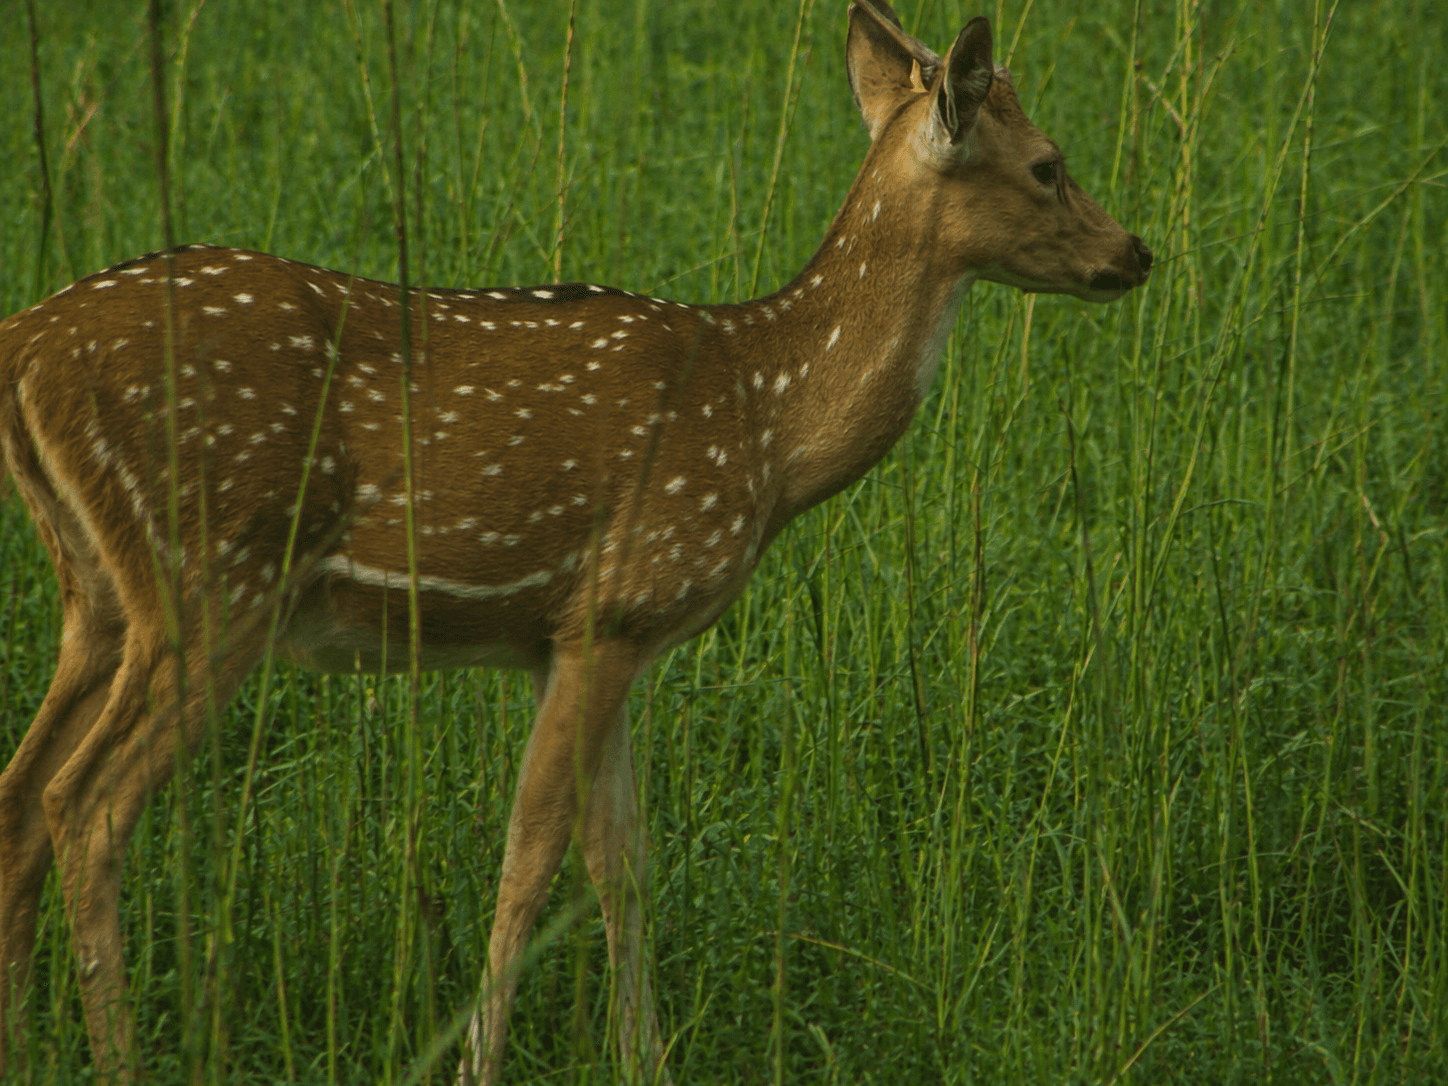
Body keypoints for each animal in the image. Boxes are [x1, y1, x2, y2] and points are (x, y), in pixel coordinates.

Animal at [0, 2, 1150, 1082]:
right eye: (1048, 163)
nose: (1135, 252)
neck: (768, 427)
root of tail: (26, 346)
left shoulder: (602, 639)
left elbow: (621, 862)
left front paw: (648, 1059)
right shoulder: (614, 602)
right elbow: (532, 856)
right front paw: (478, 1061)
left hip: (98, 598)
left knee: (21, 794)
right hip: (213, 577)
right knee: (86, 805)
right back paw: (119, 1054)